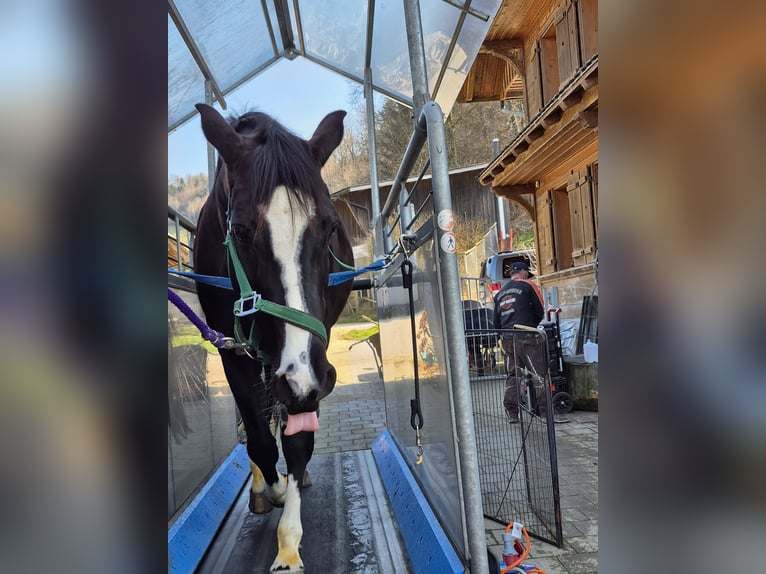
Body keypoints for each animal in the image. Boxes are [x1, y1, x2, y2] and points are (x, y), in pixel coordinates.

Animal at [192, 103, 353, 571]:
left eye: (329, 226)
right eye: (241, 232)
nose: (299, 378)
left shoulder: (312, 364)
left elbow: (296, 441)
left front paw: (289, 544)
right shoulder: (233, 353)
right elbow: (262, 440)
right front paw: (273, 487)